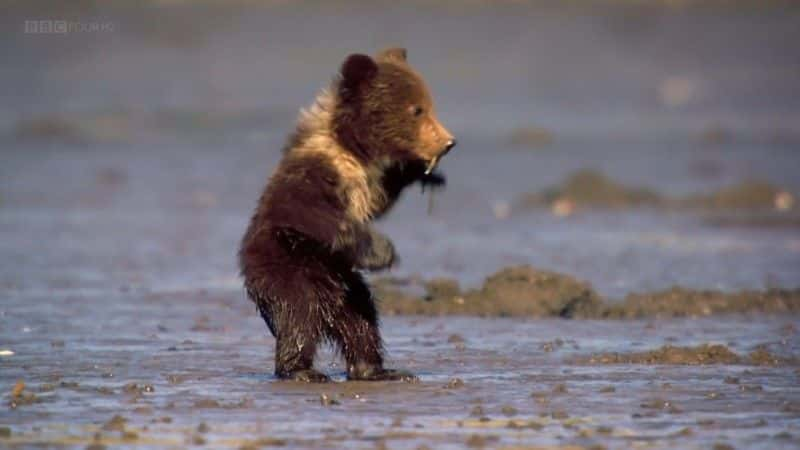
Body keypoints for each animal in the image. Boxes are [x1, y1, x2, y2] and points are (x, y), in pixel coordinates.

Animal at [238, 47, 456, 382]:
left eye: (428, 105)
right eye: (417, 110)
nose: (448, 142)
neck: (352, 147)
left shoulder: (369, 180)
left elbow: (380, 202)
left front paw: (426, 175)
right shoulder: (318, 172)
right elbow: (307, 210)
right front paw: (382, 252)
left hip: (345, 284)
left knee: (360, 319)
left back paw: (377, 368)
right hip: (287, 266)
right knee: (298, 315)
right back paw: (300, 370)